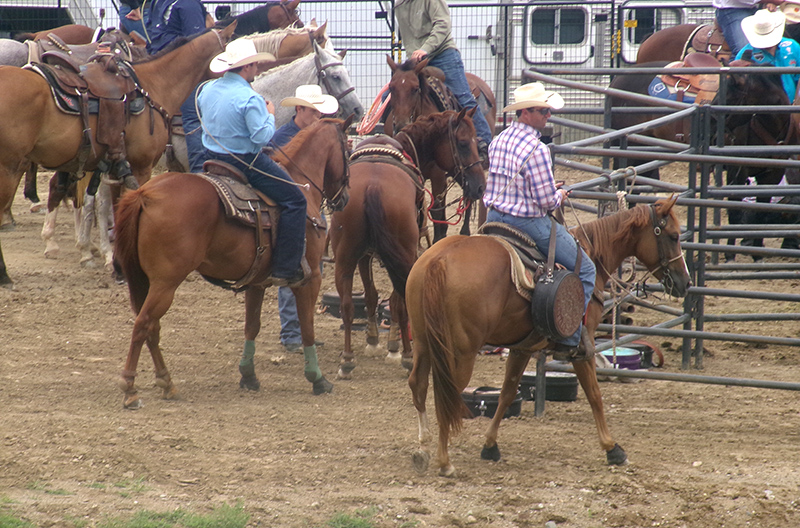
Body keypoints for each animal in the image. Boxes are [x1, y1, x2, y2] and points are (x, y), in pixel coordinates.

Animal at [0, 23, 238, 288]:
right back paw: (6, 272)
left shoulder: (114, 168)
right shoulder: (141, 167)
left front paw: (116, 265)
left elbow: (114, 207)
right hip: (9, 167)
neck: (154, 85)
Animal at [113, 117, 354, 410]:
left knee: (152, 328)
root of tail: (144, 194)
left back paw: (166, 382)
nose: (344, 198)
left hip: (147, 281)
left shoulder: (257, 282)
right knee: (143, 325)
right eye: (348, 152)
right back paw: (130, 389)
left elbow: (252, 326)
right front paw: (317, 379)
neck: (300, 187)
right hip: (165, 284)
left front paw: (248, 376)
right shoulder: (308, 280)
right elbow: (307, 328)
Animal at [332, 108, 488, 380]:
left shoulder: (364, 254)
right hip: (403, 250)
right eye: (463, 143)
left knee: (347, 304)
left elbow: (371, 295)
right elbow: (394, 300)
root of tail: (373, 185)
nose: (480, 186)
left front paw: (373, 339)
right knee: (402, 299)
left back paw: (347, 360)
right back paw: (406, 356)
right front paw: (393, 346)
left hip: (344, 256)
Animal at [382, 56, 494, 242]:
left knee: (468, 197)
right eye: (391, 88)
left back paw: (464, 232)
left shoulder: (438, 175)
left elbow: (436, 210)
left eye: (415, 89)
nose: (400, 125)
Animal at [410, 196, 692, 476]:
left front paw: (490, 445)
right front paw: (613, 449)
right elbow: (594, 395)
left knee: (419, 385)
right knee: (447, 393)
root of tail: (439, 261)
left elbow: (508, 392)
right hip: (462, 352)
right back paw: (445, 461)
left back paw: (423, 449)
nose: (686, 283)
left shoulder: (522, 347)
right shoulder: (582, 349)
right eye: (674, 236)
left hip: (424, 343)